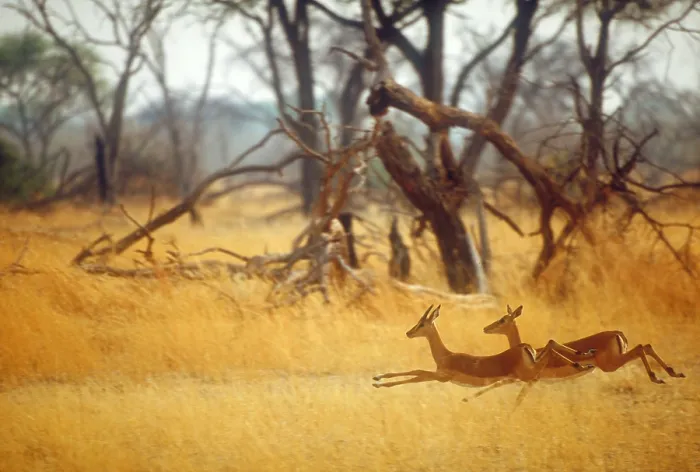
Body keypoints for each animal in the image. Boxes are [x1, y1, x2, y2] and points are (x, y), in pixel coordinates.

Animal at [372, 305, 596, 404]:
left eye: (422, 324)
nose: (408, 333)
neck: (446, 355)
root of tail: (523, 347)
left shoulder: (441, 376)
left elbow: (416, 372)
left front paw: (378, 381)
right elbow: (415, 372)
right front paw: (377, 378)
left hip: (527, 374)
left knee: (549, 350)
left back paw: (583, 363)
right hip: (530, 370)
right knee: (550, 344)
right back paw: (585, 359)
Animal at [472, 304, 686, 399]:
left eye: (502, 320)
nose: (485, 328)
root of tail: (618, 333)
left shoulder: (529, 379)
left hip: (611, 364)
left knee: (642, 348)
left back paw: (659, 377)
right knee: (645, 346)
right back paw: (673, 374)